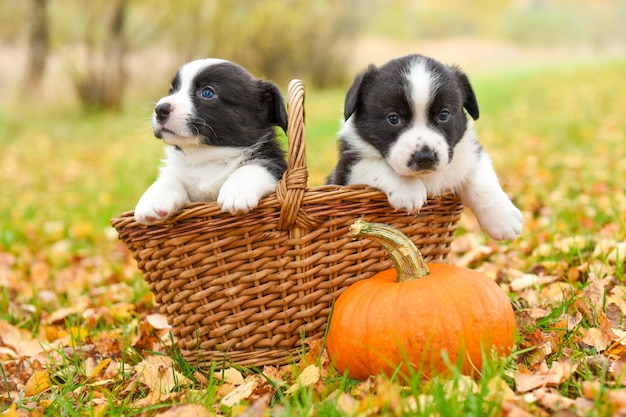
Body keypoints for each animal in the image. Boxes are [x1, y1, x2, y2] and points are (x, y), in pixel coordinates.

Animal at [135, 58, 286, 224]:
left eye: (207, 92)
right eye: (171, 91)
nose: (160, 109)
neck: (207, 157)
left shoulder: (276, 164)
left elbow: (253, 167)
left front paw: (236, 192)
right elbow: (169, 178)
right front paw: (154, 199)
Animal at [326, 53, 520, 239]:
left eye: (444, 115)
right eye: (393, 118)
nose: (425, 157)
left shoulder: (468, 154)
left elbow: (482, 179)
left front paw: (504, 218)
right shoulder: (346, 170)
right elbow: (373, 163)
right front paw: (408, 190)